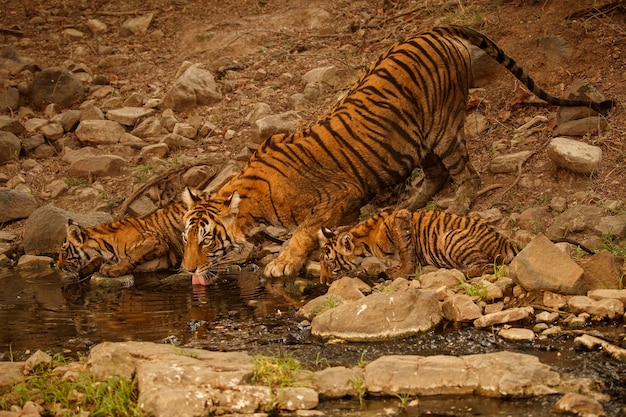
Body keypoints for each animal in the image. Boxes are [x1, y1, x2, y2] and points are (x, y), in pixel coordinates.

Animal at [316, 207, 516, 282]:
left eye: (330, 262)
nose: (323, 282)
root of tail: (502, 239)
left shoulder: (400, 218)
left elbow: (406, 251)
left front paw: (402, 272)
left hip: (449, 237)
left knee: (486, 265)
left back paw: (462, 271)